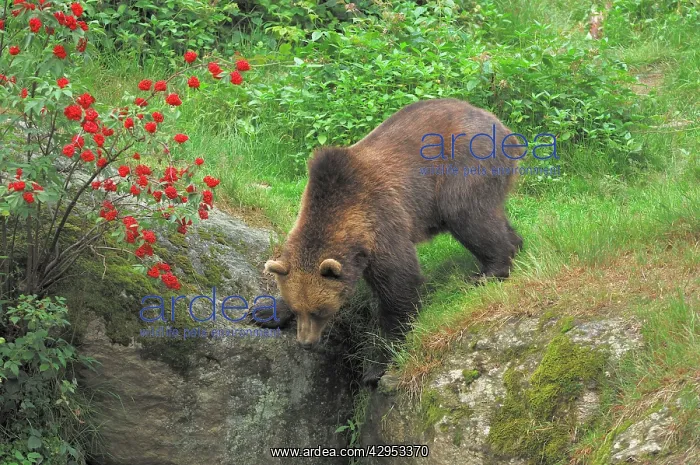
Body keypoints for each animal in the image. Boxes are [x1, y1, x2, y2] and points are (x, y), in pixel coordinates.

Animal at [264, 98, 524, 383]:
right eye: (298, 308)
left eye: (320, 311)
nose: (306, 342)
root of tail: (502, 126)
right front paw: (264, 312)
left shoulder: (382, 224)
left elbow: (399, 287)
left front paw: (378, 365)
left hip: (466, 164)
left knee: (466, 212)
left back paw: (488, 272)